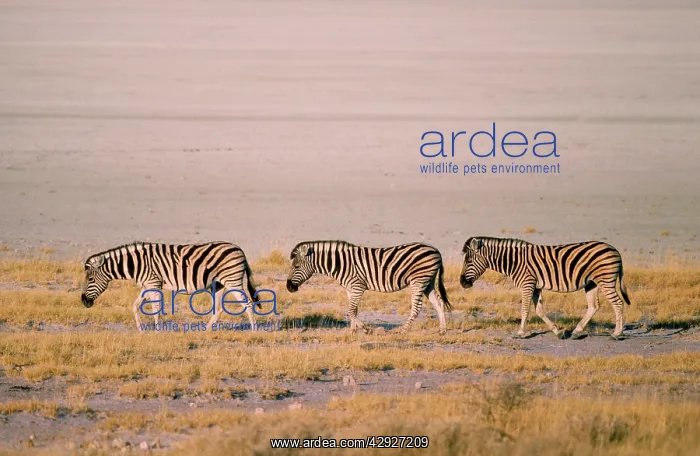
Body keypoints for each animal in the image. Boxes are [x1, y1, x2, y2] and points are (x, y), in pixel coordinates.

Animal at [81, 241, 259, 331]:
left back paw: (254, 330)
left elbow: (155, 308)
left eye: (90, 279)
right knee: (219, 309)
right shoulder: (147, 285)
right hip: (219, 284)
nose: (83, 301)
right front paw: (141, 329)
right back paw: (206, 331)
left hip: (232, 280)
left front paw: (158, 331)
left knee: (248, 303)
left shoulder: (153, 283)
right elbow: (135, 305)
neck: (135, 264)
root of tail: (239, 249)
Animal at [286, 240, 451, 334]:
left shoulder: (358, 286)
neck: (340, 264)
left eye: (296, 266)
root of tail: (436, 250)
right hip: (428, 282)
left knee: (417, 308)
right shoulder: (350, 288)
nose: (288, 287)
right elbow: (354, 310)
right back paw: (442, 330)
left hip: (418, 280)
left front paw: (366, 329)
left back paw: (403, 331)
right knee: (439, 303)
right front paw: (353, 331)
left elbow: (350, 310)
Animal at [460, 236, 631, 340]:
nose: (462, 283)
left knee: (617, 303)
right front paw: (558, 331)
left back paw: (617, 333)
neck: (514, 262)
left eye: (468, 261)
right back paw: (576, 332)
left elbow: (525, 309)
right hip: (591, 283)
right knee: (594, 306)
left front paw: (520, 333)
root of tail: (614, 249)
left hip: (605, 280)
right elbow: (539, 310)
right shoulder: (536, 286)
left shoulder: (527, 283)